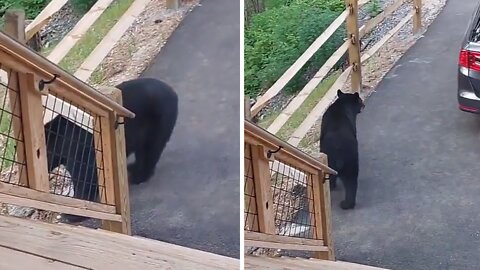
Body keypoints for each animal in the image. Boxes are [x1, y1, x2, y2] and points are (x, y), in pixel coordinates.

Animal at [45, 77, 178, 223]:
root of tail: (172, 92)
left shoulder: (77, 145)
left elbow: (84, 174)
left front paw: (73, 213)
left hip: (158, 119)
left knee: (150, 150)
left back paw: (137, 175)